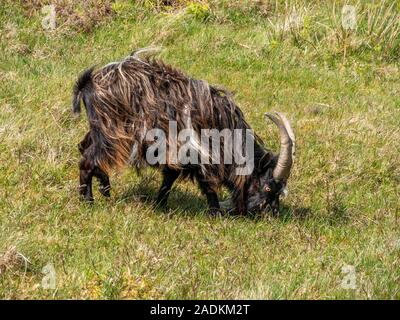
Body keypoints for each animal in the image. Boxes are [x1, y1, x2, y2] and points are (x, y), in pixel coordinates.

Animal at [73, 51, 296, 214]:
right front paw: (215, 213)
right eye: (267, 187)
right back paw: (88, 202)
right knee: (87, 161)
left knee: (83, 148)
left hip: (99, 130)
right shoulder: (197, 153)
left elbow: (169, 179)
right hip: (112, 134)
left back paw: (104, 187)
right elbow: (206, 184)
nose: (270, 214)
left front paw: (161, 204)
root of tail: (89, 83)